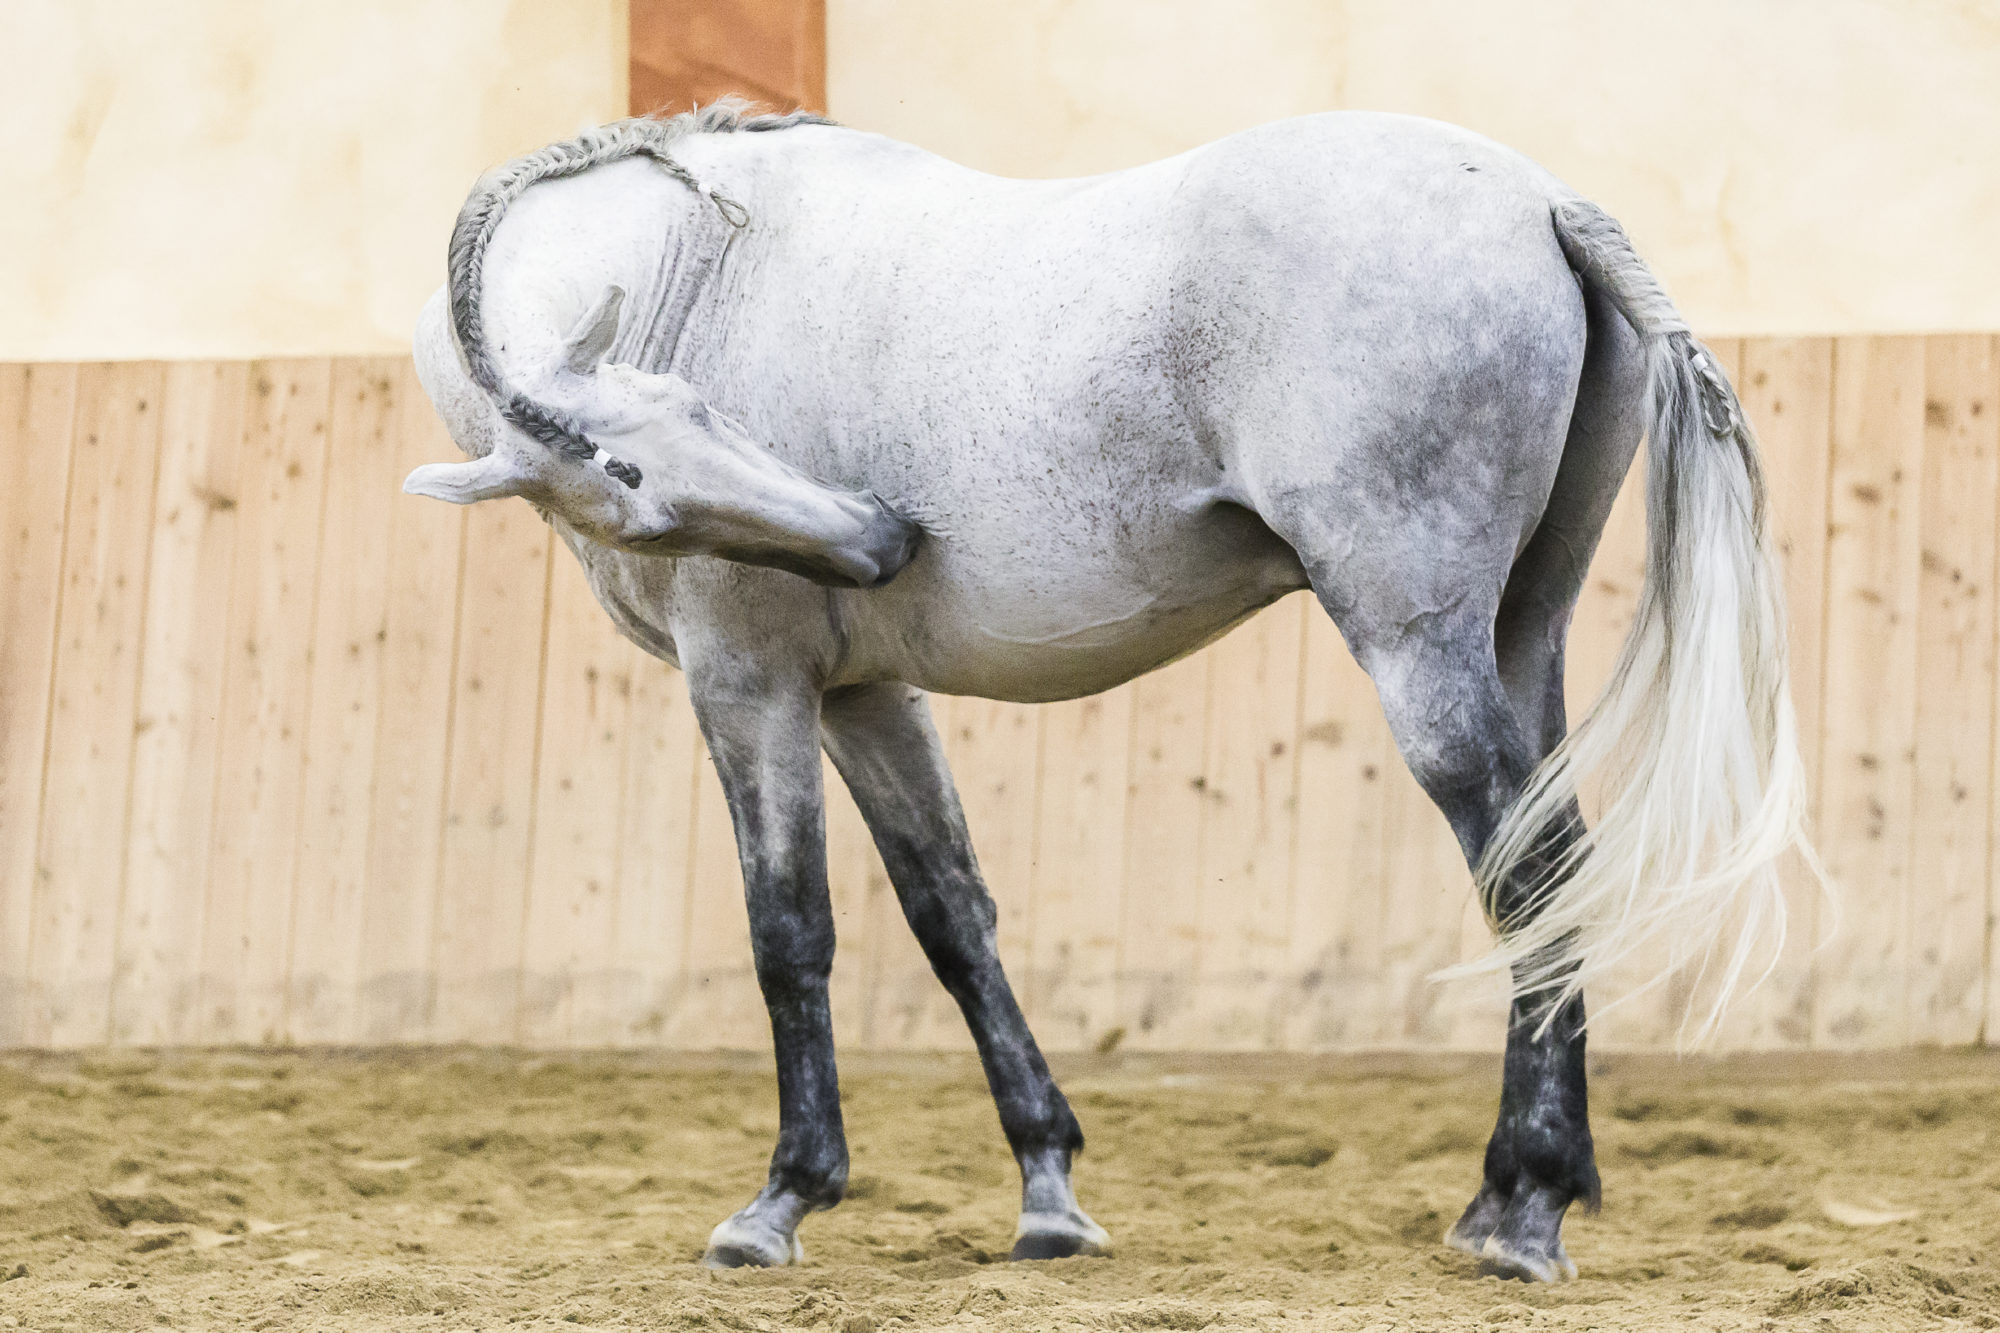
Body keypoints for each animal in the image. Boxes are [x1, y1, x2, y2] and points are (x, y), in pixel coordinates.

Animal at [406, 104, 1816, 1280]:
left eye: (687, 416)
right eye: (639, 464)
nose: (878, 538)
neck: (693, 269)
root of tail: (1542, 201)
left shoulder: (747, 686)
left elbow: (789, 931)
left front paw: (780, 1202)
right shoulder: (865, 696)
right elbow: (951, 917)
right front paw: (1047, 1191)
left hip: (1420, 650)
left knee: (1523, 873)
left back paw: (1525, 1210)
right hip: (1522, 631)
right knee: (1553, 863)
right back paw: (1506, 1199)